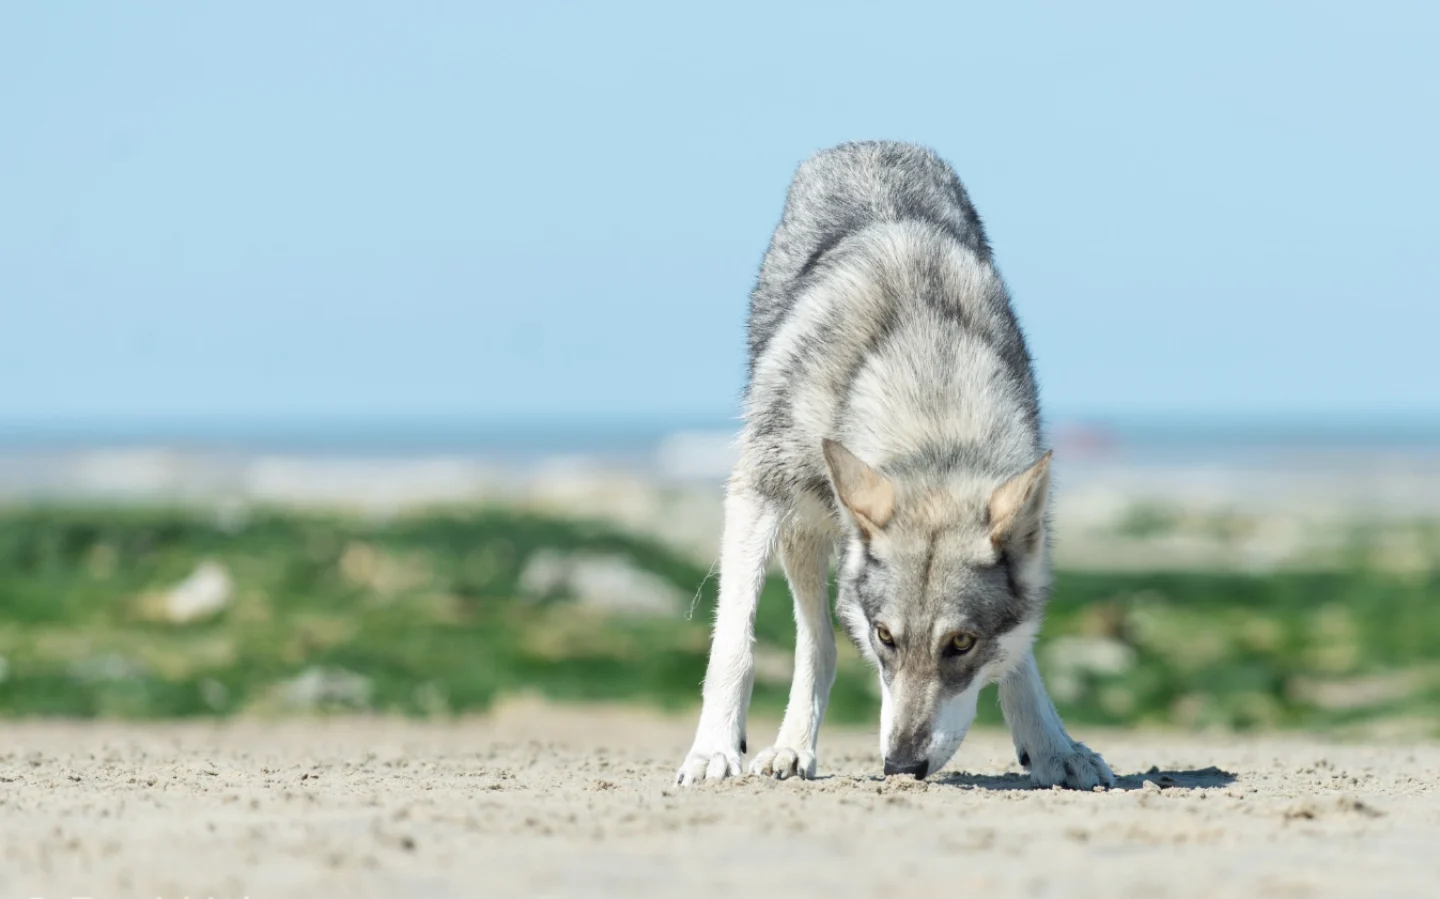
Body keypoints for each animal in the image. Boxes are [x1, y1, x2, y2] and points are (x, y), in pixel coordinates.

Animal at [676, 141, 1113, 788]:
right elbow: (735, 644)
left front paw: (1053, 748)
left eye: (962, 643)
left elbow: (1020, 656)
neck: (932, 406)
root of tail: (870, 143)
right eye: (885, 637)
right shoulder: (755, 494)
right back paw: (790, 749)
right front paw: (714, 750)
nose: (901, 765)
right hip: (802, 523)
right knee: (819, 644)